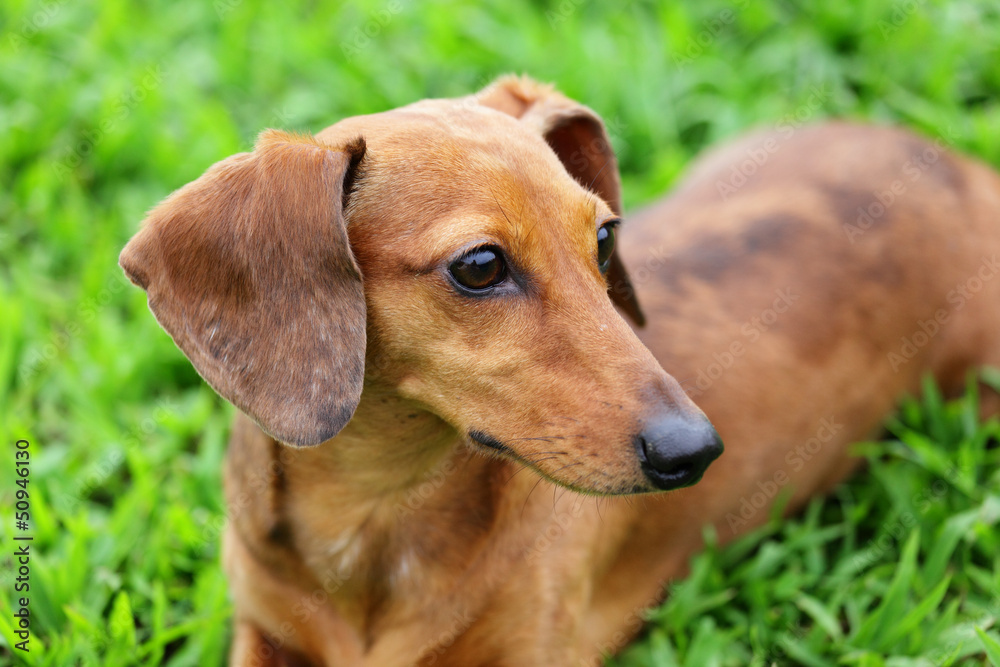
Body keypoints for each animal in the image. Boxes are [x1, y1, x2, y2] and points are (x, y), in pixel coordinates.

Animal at [119, 75, 1000, 664]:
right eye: (479, 265)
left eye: (605, 239)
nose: (695, 451)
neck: (374, 518)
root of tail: (956, 166)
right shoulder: (262, 627)